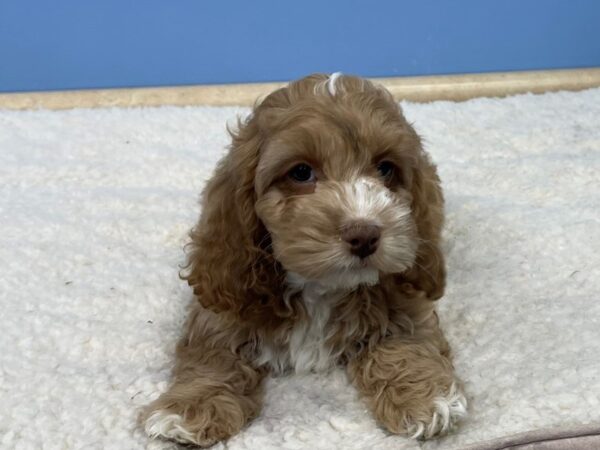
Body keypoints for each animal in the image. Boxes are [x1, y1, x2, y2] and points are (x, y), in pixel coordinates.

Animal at [143, 74, 466, 446]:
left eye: (386, 168)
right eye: (300, 173)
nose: (364, 234)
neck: (319, 288)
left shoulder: (403, 294)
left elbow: (405, 341)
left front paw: (425, 399)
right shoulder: (225, 304)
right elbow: (212, 354)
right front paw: (191, 408)